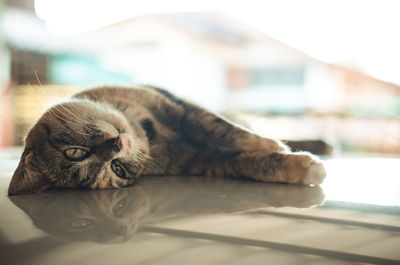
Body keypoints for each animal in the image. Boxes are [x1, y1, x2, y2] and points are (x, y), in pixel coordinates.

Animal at [7, 85, 326, 194]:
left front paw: (271, 144)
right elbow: (248, 164)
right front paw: (301, 167)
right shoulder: (206, 162)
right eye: (117, 169)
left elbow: (219, 128)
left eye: (74, 152)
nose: (116, 146)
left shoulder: (178, 107)